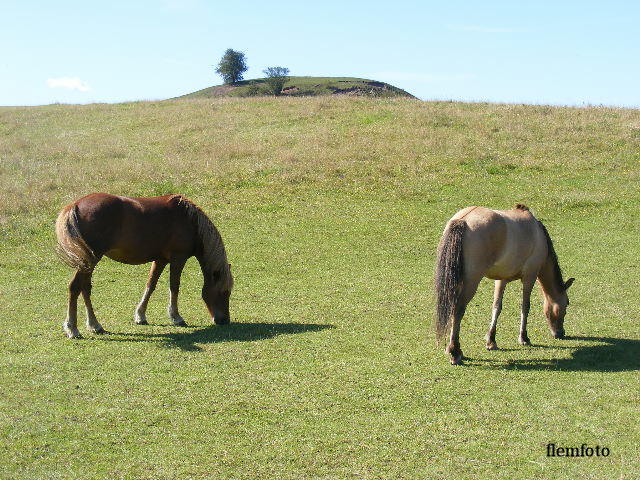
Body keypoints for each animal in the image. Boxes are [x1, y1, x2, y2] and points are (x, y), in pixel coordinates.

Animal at [56, 193, 234, 340]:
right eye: (224, 292)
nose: (224, 320)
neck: (189, 220)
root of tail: (75, 205)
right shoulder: (178, 258)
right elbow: (174, 286)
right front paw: (176, 317)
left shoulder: (161, 260)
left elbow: (151, 285)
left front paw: (140, 315)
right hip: (90, 260)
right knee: (75, 287)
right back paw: (72, 329)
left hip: (89, 262)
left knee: (85, 288)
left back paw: (95, 325)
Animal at [436, 204, 576, 366]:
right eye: (566, 304)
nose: (560, 333)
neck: (538, 233)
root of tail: (462, 220)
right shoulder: (530, 276)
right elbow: (525, 306)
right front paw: (524, 338)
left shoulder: (501, 280)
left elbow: (497, 307)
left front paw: (491, 340)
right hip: (471, 282)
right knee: (458, 310)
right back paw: (455, 352)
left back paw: (450, 349)